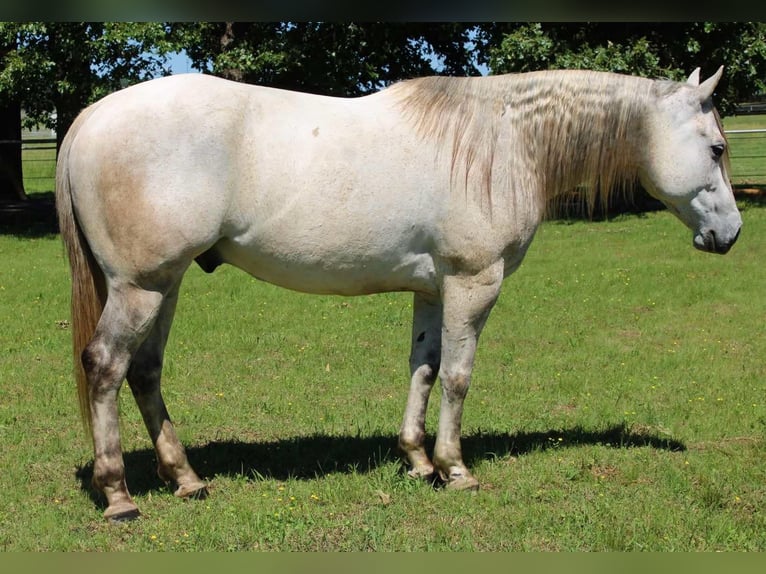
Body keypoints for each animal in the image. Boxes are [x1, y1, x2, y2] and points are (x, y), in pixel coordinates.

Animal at [56, 67, 741, 521]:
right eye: (716, 147)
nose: (730, 234)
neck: (501, 141)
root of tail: (92, 117)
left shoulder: (434, 289)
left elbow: (425, 368)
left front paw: (417, 460)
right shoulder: (474, 282)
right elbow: (459, 376)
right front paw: (456, 469)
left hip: (164, 285)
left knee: (145, 372)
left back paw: (187, 479)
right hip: (141, 287)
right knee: (106, 366)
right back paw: (118, 495)